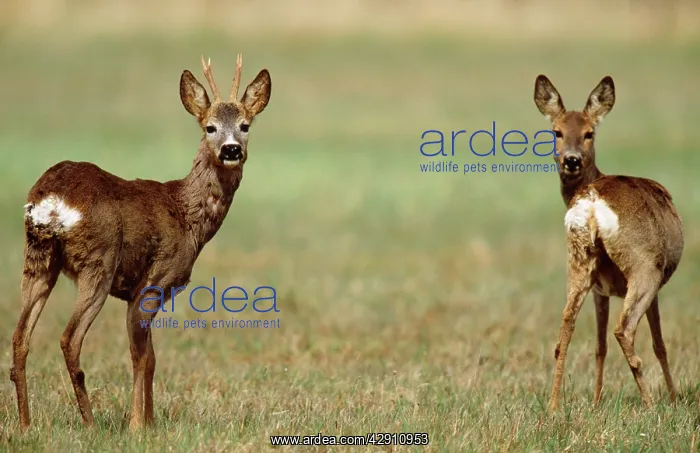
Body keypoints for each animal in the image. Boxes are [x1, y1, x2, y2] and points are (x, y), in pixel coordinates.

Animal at [9, 54, 271, 431]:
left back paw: (26, 423)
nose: (231, 149)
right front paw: (137, 425)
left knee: (20, 337)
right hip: (99, 262)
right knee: (69, 338)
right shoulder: (152, 282)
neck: (187, 216)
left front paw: (149, 420)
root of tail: (50, 199)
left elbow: (151, 357)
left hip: (38, 258)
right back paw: (90, 423)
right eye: (210, 127)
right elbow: (141, 357)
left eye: (245, 125)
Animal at [533, 75, 684, 413]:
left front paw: (596, 400)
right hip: (645, 268)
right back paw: (651, 405)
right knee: (624, 329)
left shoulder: (600, 290)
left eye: (589, 133)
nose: (571, 160)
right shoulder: (656, 285)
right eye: (556, 132)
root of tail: (591, 200)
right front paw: (673, 397)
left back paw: (553, 407)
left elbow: (598, 346)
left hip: (579, 260)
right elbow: (660, 344)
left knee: (565, 328)